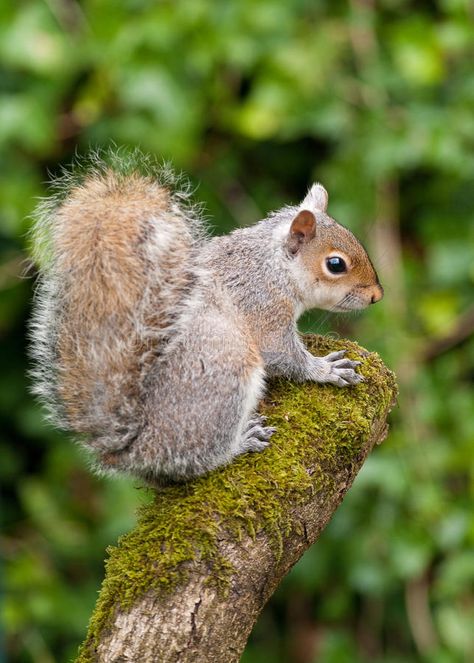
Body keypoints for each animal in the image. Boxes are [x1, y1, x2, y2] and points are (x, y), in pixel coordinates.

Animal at [29, 150, 384, 482]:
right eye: (335, 264)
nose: (377, 295)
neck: (272, 266)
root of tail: (135, 448)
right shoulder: (262, 307)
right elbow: (281, 355)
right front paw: (325, 369)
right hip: (226, 367)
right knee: (197, 459)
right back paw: (240, 443)